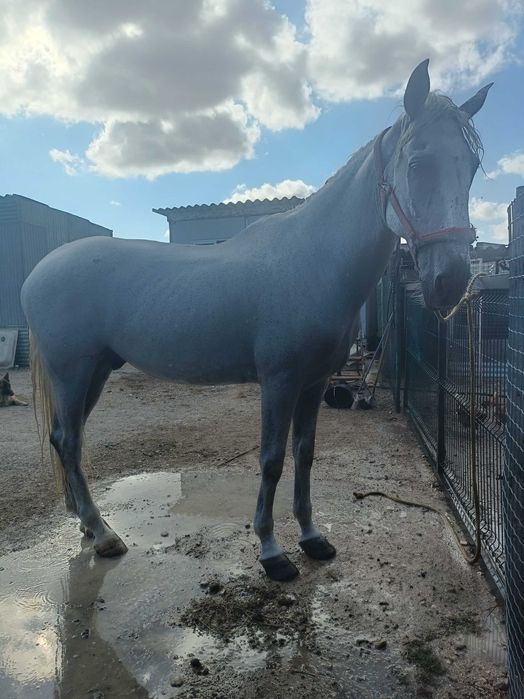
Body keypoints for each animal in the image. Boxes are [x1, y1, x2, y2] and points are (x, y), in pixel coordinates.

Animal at [21, 60, 491, 582]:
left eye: (471, 168)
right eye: (417, 165)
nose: (450, 283)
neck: (313, 260)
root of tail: (40, 270)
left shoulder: (314, 382)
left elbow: (304, 455)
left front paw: (312, 537)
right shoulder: (280, 381)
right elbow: (271, 460)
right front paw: (272, 551)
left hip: (97, 371)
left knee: (66, 439)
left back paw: (86, 524)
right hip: (72, 371)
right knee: (69, 441)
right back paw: (103, 534)